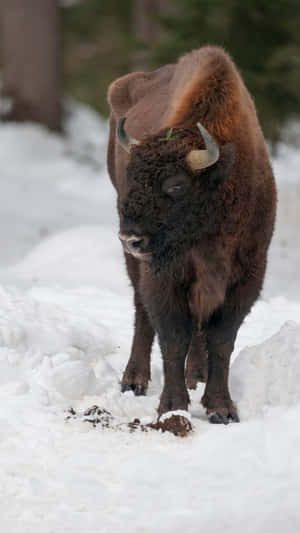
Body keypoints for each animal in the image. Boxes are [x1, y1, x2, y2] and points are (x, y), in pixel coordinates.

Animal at [106, 45, 276, 434]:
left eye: (176, 186)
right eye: (131, 176)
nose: (130, 238)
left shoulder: (248, 274)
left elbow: (221, 339)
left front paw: (222, 409)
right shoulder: (164, 276)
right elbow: (172, 337)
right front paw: (172, 407)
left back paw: (195, 374)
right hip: (139, 268)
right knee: (142, 312)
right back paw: (134, 379)